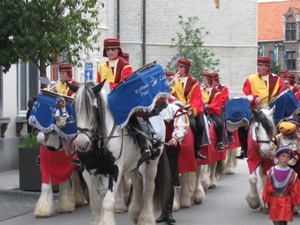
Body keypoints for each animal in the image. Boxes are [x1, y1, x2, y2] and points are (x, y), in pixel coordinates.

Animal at [68, 80, 171, 224]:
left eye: (94, 107)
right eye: (74, 106)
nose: (82, 142)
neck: (99, 145)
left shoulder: (115, 171)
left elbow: (108, 202)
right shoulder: (88, 173)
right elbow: (95, 202)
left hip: (153, 162)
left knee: (149, 188)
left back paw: (146, 218)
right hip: (133, 164)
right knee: (138, 182)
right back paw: (136, 212)